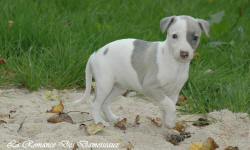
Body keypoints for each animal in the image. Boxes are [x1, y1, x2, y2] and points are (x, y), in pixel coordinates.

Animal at [73, 15, 209, 135]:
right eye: (174, 36)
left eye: (195, 37)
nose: (184, 53)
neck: (176, 64)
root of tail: (94, 54)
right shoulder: (150, 87)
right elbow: (170, 106)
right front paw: (170, 123)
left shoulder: (173, 93)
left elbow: (166, 109)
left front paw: (167, 129)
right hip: (104, 84)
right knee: (95, 104)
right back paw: (99, 122)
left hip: (119, 87)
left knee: (105, 103)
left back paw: (113, 118)